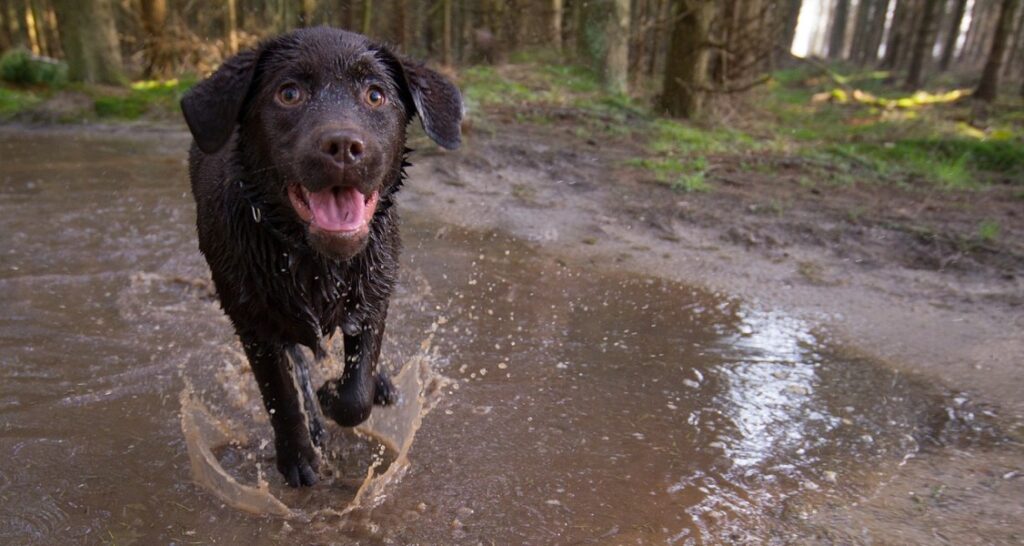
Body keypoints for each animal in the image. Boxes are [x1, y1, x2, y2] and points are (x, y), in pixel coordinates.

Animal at [179, 27, 460, 483]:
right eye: (289, 93)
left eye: (375, 95)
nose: (343, 145)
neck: (313, 261)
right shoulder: (252, 322)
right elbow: (281, 395)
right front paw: (298, 456)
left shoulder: (373, 298)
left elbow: (357, 392)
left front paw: (338, 394)